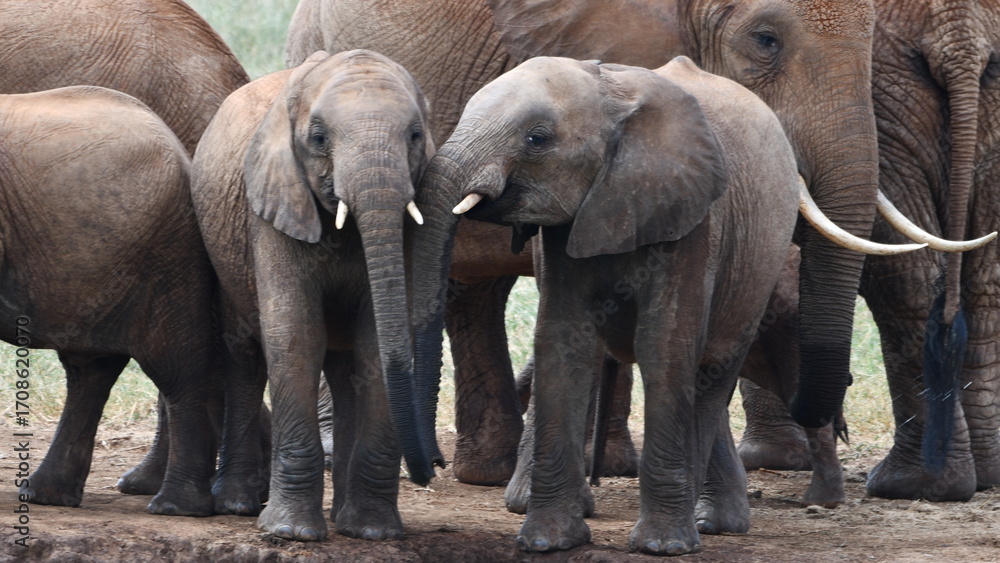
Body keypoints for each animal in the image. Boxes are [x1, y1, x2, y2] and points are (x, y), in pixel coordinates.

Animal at [189, 49, 437, 542]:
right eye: (319, 139)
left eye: (416, 135)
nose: (430, 473)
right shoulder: (271, 205)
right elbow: (295, 335)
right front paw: (291, 533)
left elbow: (375, 345)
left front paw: (373, 533)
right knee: (244, 358)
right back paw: (237, 505)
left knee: (345, 375)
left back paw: (343, 518)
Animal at [433, 55, 867, 555]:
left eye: (537, 139)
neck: (611, 90)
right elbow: (563, 342)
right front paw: (548, 542)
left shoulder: (693, 218)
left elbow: (665, 344)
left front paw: (661, 547)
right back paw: (711, 520)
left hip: (757, 268)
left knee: (710, 373)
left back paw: (710, 524)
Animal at [858, 0, 1000, 501]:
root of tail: (961, 34)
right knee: (984, 286)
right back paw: (982, 475)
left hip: (884, 104)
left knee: (906, 279)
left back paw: (912, 484)